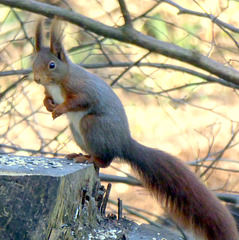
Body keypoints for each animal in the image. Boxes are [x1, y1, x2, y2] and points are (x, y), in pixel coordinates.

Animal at [32, 19, 239, 239]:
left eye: (52, 65)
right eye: (33, 61)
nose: (36, 79)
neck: (57, 82)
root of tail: (124, 142)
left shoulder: (81, 88)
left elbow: (80, 100)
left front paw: (60, 109)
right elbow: (48, 99)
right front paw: (48, 105)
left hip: (91, 125)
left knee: (105, 159)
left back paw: (90, 159)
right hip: (76, 130)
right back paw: (80, 154)